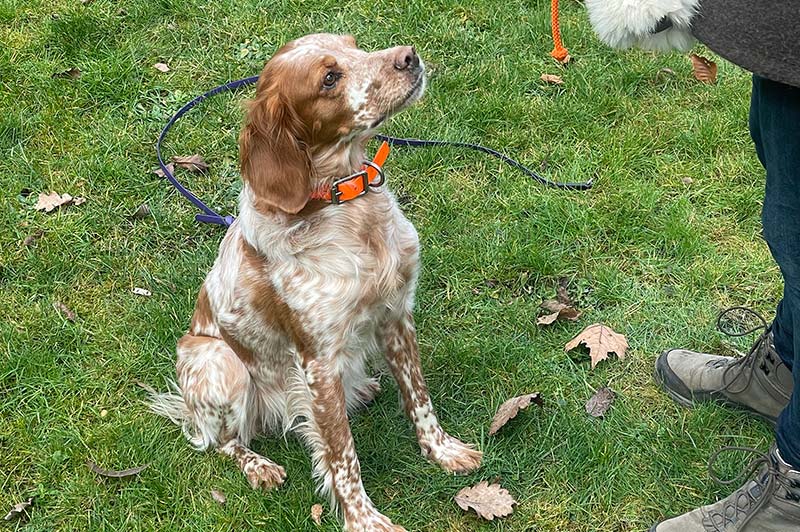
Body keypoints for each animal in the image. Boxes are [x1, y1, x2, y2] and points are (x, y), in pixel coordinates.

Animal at [152, 35, 482, 528]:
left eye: (355, 47)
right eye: (329, 78)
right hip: (216, 361)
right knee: (221, 441)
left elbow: (419, 398)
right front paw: (364, 519)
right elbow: (342, 455)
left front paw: (443, 451)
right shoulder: (318, 362)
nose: (409, 56)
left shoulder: (396, 315)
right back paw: (258, 465)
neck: (347, 208)